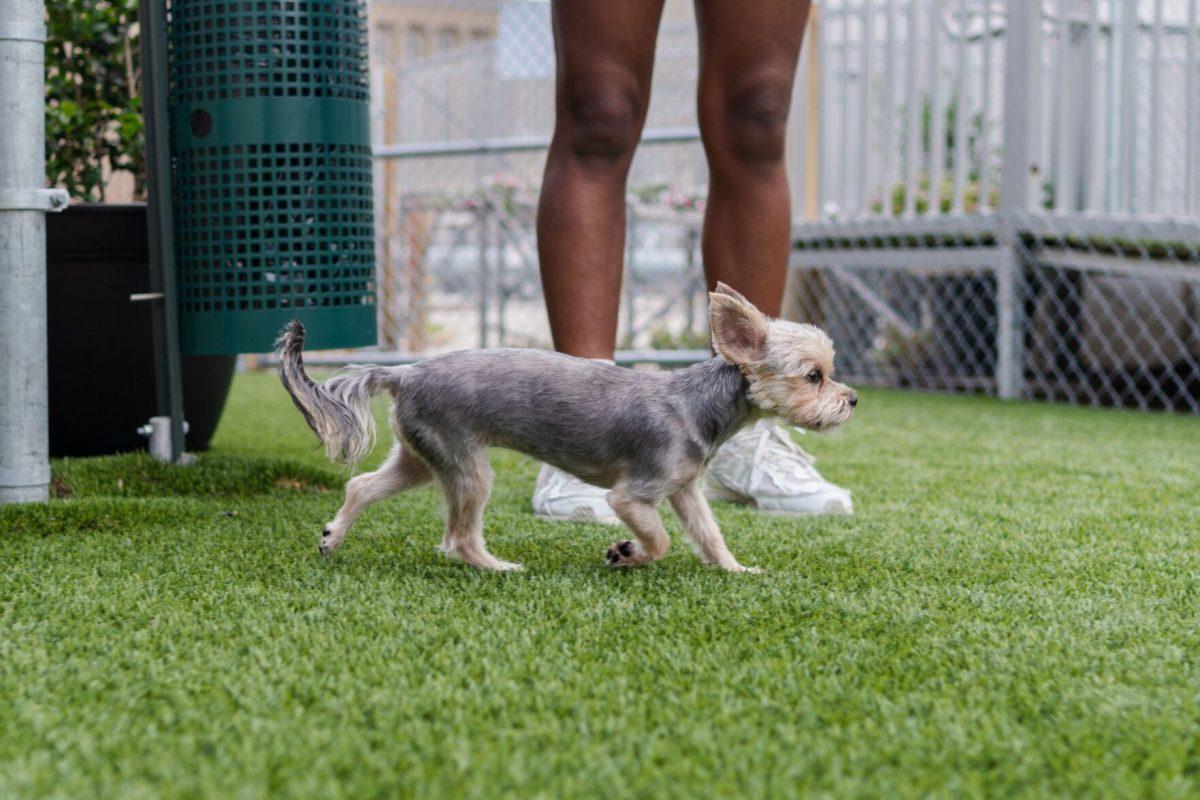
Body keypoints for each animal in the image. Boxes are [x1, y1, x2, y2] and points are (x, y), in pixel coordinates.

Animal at [276, 284, 859, 573]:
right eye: (814, 376)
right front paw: (627, 555)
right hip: (466, 466)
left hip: (422, 457)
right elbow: (661, 539)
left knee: (362, 485)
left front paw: (735, 570)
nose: (852, 399)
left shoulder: (685, 489)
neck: (700, 404)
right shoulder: (633, 495)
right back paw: (498, 568)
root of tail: (406, 371)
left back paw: (332, 537)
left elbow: (708, 534)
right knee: (458, 537)